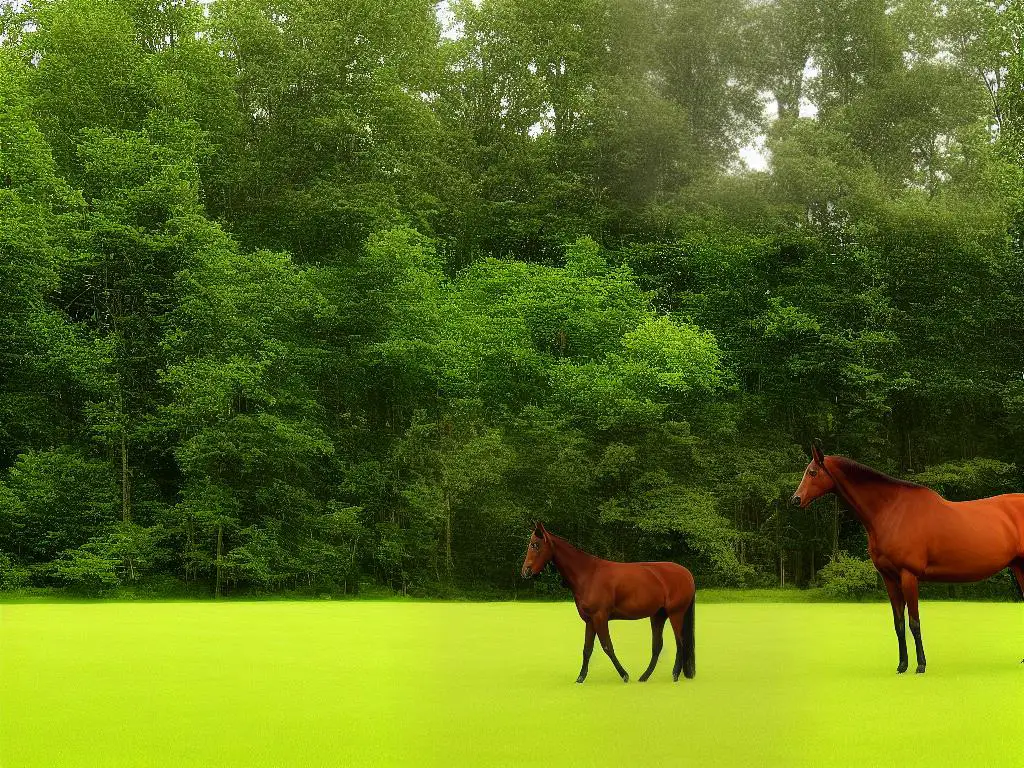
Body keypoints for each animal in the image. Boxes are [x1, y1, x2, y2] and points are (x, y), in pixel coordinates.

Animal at [520, 524, 696, 684]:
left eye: (535, 545)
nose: (525, 571)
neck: (588, 574)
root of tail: (686, 573)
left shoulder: (600, 617)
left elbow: (607, 646)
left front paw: (624, 675)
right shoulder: (590, 620)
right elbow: (587, 649)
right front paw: (580, 678)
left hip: (675, 613)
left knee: (680, 643)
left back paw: (674, 674)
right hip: (658, 615)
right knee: (658, 646)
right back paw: (645, 677)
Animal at [790, 442, 1024, 675]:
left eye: (812, 472)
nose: (795, 500)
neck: (891, 511)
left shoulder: (908, 575)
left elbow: (914, 622)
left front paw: (920, 665)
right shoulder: (889, 578)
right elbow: (899, 623)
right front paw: (902, 665)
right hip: (1019, 567)